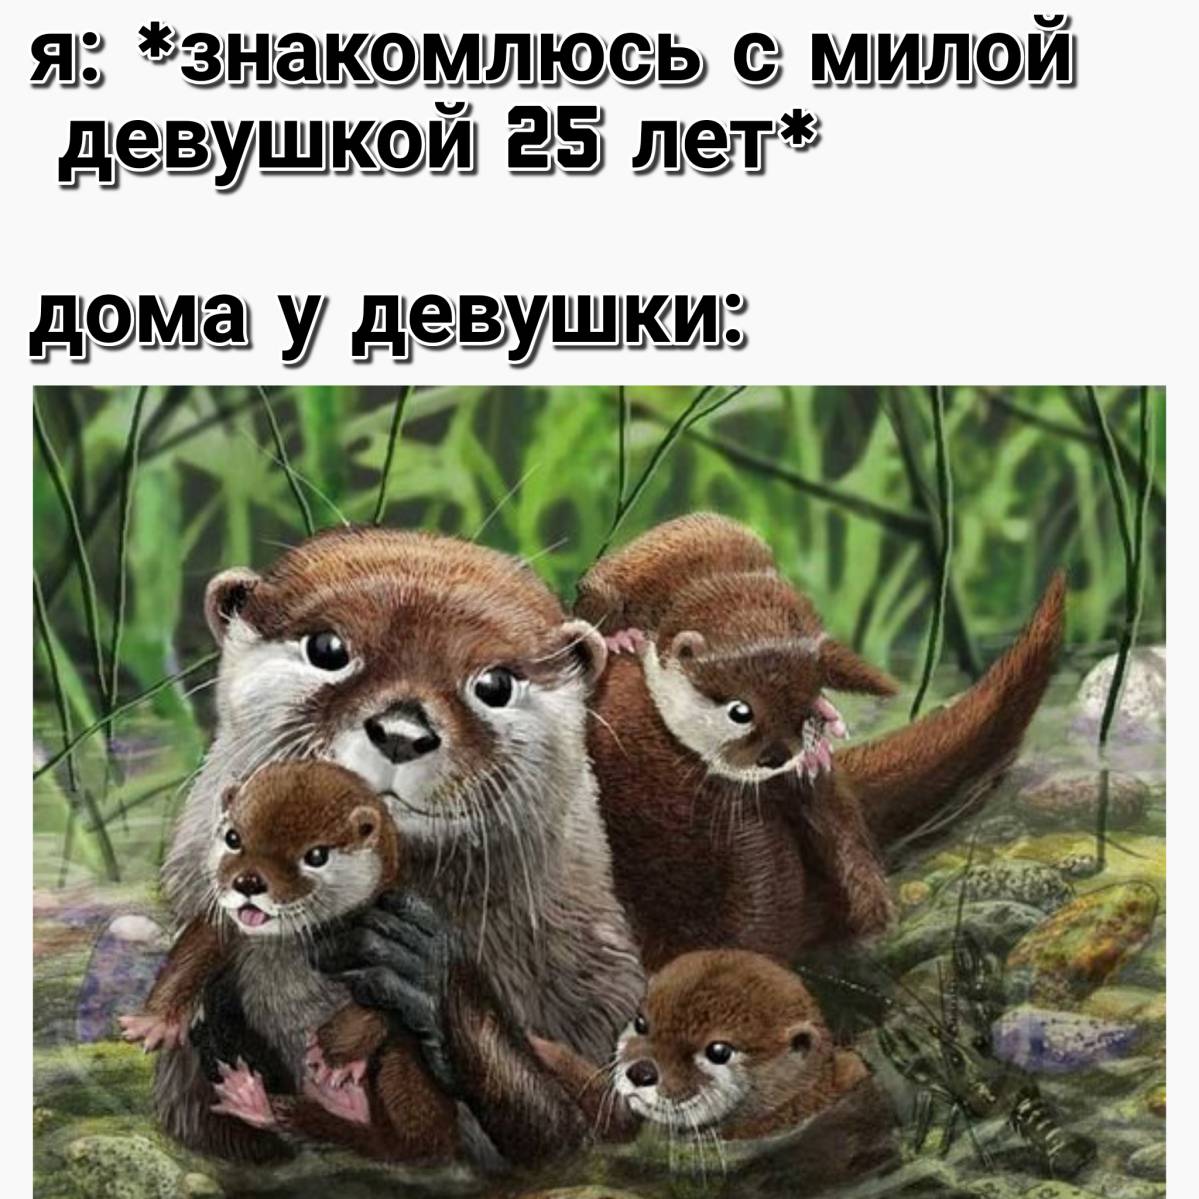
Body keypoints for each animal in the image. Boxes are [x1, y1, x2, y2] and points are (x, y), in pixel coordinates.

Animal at [156, 528, 645, 1167]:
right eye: (328, 648)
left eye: (494, 685)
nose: (402, 732)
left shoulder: (610, 1003)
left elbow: (570, 1137)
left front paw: (418, 964)